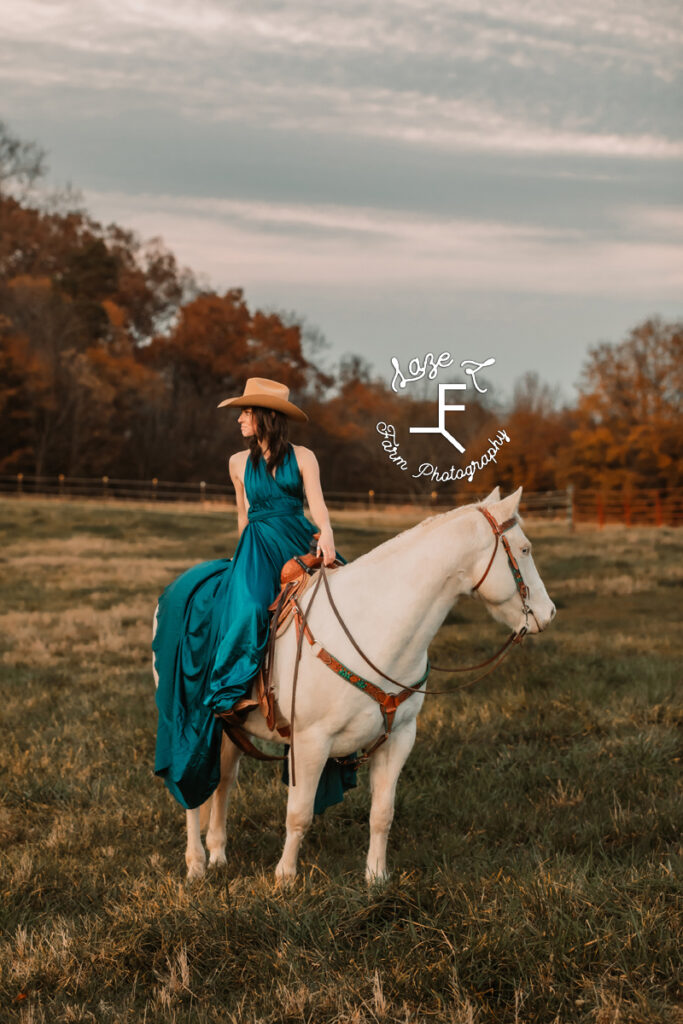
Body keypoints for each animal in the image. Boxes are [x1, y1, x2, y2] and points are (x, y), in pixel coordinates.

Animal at [154, 485, 557, 880]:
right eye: (525, 549)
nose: (549, 613)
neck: (373, 626)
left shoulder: (399, 738)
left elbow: (382, 814)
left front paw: (376, 877)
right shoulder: (310, 743)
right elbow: (298, 814)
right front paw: (285, 878)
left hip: (230, 728)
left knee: (223, 781)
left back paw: (218, 854)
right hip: (194, 723)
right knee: (194, 788)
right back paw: (196, 865)